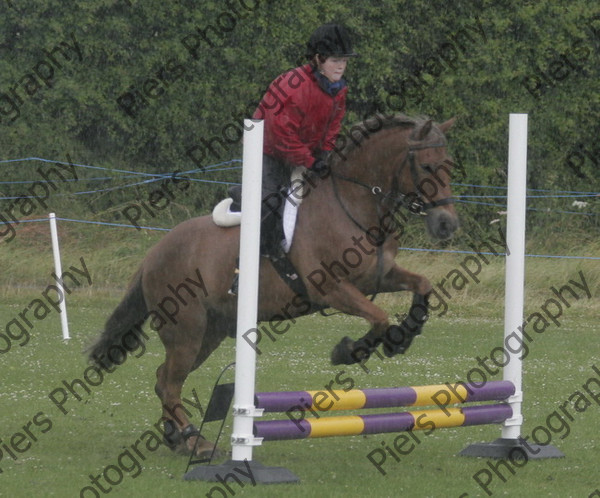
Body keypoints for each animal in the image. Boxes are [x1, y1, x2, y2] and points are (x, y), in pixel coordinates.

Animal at [86, 113, 460, 456]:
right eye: (427, 166)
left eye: (449, 166)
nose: (446, 224)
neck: (354, 204)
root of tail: (153, 253)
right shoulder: (331, 289)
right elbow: (379, 318)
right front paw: (350, 350)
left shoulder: (376, 276)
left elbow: (422, 284)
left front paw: (404, 335)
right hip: (186, 332)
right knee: (169, 383)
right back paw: (194, 439)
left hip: (210, 332)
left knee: (163, 377)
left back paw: (175, 437)